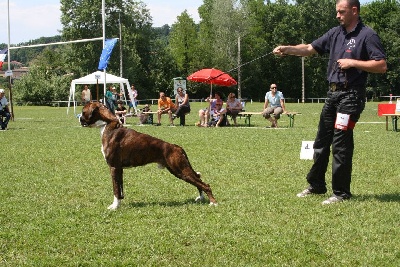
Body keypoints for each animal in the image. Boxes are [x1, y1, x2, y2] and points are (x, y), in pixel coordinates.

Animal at [79, 101, 217, 210]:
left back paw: (213, 203)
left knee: (204, 184)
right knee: (198, 180)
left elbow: (116, 189)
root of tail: (176, 147)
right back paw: (201, 197)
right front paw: (118, 204)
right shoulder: (119, 169)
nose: (79, 118)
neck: (108, 124)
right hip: (178, 171)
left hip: (181, 170)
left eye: (83, 111)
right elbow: (120, 188)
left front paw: (114, 206)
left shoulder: (113, 167)